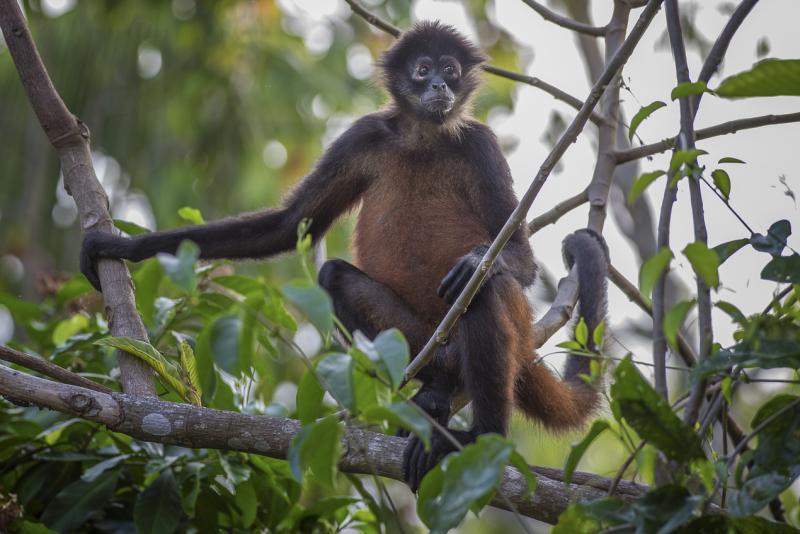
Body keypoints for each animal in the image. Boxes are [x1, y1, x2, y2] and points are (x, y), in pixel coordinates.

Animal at [81, 21, 609, 492]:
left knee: (484, 290)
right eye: (422, 70)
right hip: (422, 339)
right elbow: (289, 223)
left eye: (450, 70)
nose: (439, 84)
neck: (423, 135)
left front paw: (479, 261)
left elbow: (518, 258)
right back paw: (436, 392)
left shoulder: (479, 142)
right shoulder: (365, 134)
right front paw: (122, 247)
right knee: (335, 276)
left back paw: (481, 432)